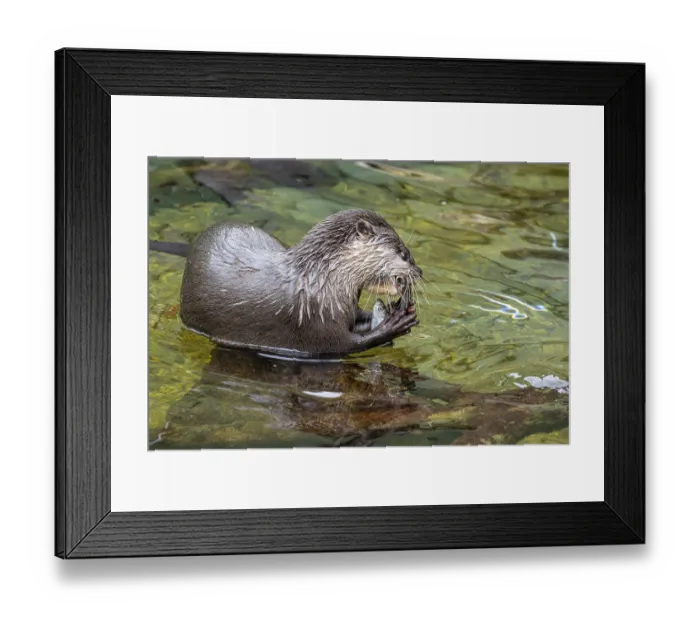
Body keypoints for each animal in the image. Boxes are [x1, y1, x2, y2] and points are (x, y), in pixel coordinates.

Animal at [157, 209, 423, 358]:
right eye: (402, 253)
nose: (419, 271)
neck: (320, 281)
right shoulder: (314, 323)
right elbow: (348, 345)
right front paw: (395, 323)